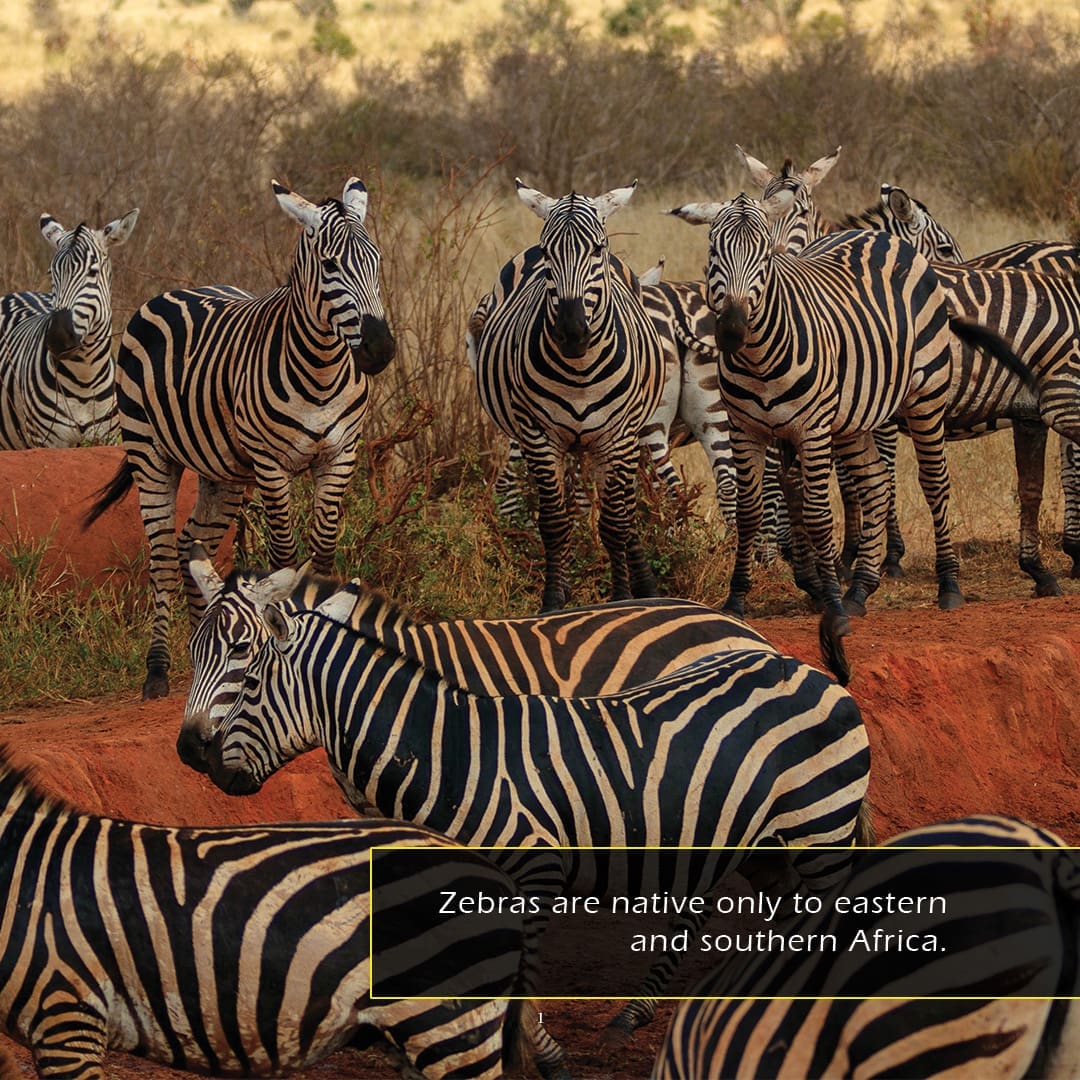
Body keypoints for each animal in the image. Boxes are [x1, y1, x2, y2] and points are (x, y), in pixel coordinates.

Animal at [0, 208, 138, 450]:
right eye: (51, 273)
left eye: (93, 272)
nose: (58, 337)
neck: (85, 376)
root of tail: (16, 293)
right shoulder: (46, 442)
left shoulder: (109, 438)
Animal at [81, 177, 395, 703]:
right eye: (331, 266)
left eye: (377, 261)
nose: (380, 349)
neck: (323, 370)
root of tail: (177, 290)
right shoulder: (270, 464)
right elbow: (285, 555)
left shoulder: (340, 455)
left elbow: (324, 551)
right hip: (150, 453)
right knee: (163, 557)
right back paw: (158, 671)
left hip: (223, 472)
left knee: (191, 544)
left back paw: (199, 646)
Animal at [204, 587, 872, 1054]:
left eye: (249, 679)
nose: (199, 758)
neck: (449, 751)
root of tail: (804, 668)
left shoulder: (535, 871)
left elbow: (515, 984)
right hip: (768, 844)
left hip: (820, 828)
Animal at [470, 179, 666, 610]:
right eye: (547, 253)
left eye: (597, 249)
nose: (571, 332)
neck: (580, 370)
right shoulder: (538, 435)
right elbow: (555, 522)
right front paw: (553, 599)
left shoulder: (618, 435)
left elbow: (614, 522)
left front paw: (622, 597)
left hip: (619, 438)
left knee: (625, 511)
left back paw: (645, 585)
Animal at [670, 193, 1036, 683]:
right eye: (714, 252)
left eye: (766, 257)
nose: (731, 330)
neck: (759, 358)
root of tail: (879, 237)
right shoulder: (744, 430)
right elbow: (748, 514)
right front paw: (737, 599)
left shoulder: (811, 430)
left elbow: (818, 514)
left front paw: (830, 600)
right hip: (853, 421)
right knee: (876, 485)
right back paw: (861, 588)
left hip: (923, 396)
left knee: (934, 484)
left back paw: (948, 584)